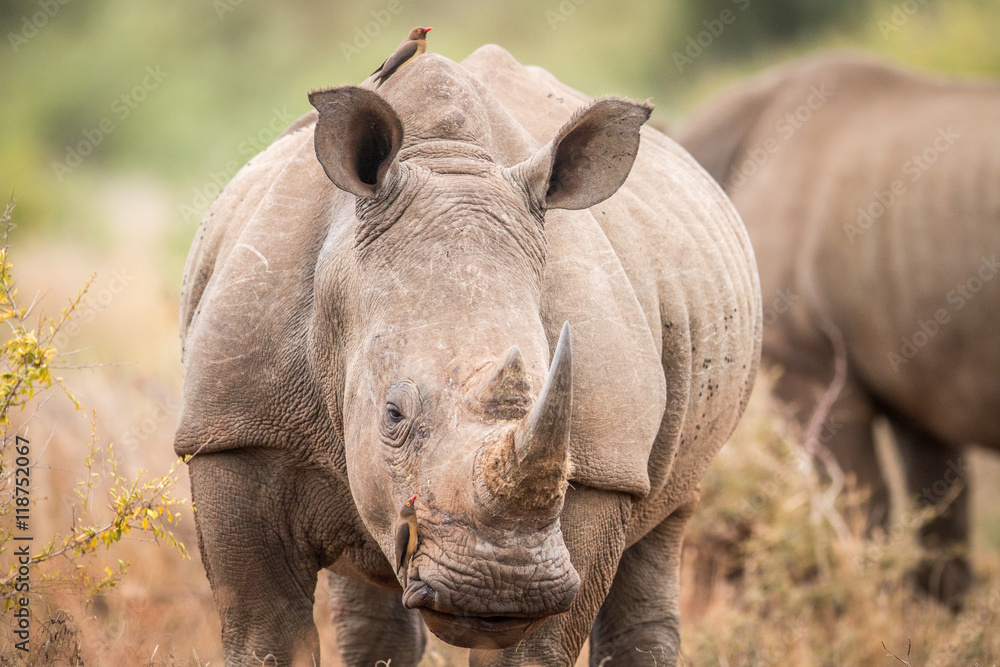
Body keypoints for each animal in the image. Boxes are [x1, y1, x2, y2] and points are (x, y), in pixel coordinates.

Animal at [175, 44, 761, 665]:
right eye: (393, 414)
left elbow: (532, 650)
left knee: (668, 523)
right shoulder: (233, 431)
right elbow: (265, 631)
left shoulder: (605, 469)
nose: (504, 582)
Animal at [677, 53, 1000, 609]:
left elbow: (856, 502)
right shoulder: (921, 371)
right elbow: (939, 511)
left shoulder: (809, 365)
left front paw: (866, 606)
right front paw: (940, 619)